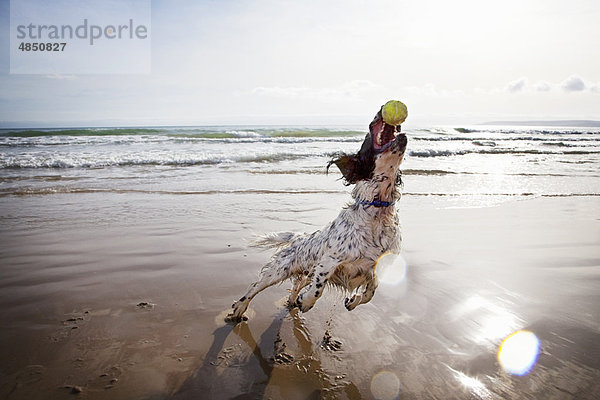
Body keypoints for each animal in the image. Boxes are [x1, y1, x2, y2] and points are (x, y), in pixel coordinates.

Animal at [225, 102, 408, 322]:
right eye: (367, 138)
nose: (382, 106)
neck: (378, 212)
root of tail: (298, 237)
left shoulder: (375, 267)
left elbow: (371, 292)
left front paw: (352, 301)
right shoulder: (329, 261)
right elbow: (318, 288)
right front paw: (306, 301)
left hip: (303, 272)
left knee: (297, 283)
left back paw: (292, 302)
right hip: (279, 269)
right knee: (254, 288)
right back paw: (239, 309)